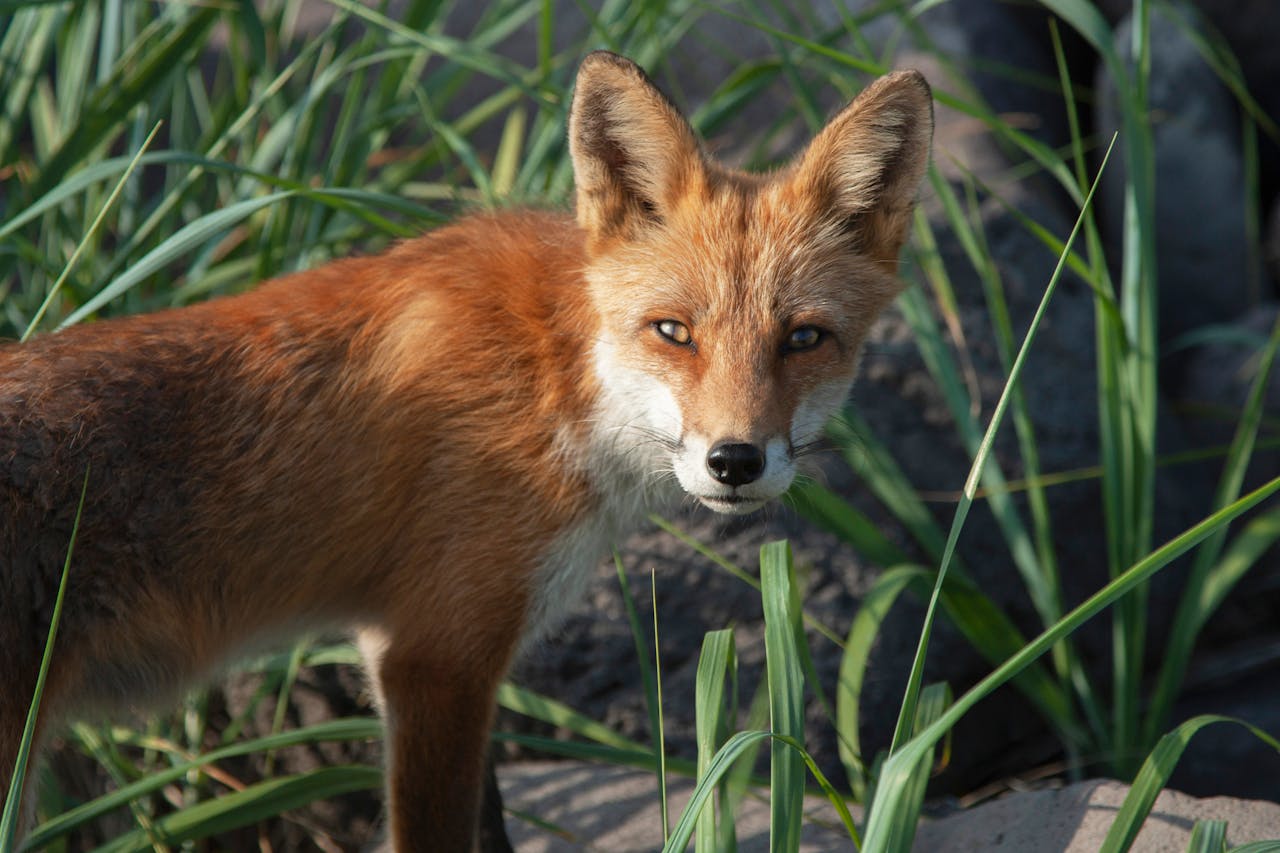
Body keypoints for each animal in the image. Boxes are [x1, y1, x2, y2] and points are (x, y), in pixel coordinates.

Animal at [0, 52, 932, 849]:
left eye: (804, 338)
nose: (734, 461)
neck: (558, 376)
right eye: (674, 331)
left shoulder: (451, 655)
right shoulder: (434, 655)